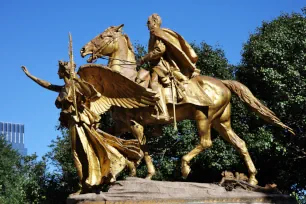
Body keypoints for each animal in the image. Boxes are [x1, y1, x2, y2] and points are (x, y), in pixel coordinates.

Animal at [79, 23, 294, 185]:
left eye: (103, 36)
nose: (83, 49)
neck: (125, 81)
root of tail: (223, 83)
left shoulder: (135, 123)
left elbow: (141, 147)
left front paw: (142, 171)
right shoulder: (122, 124)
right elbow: (114, 140)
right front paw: (131, 168)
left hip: (203, 117)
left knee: (206, 142)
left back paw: (184, 168)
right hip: (221, 122)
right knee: (240, 143)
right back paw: (252, 179)